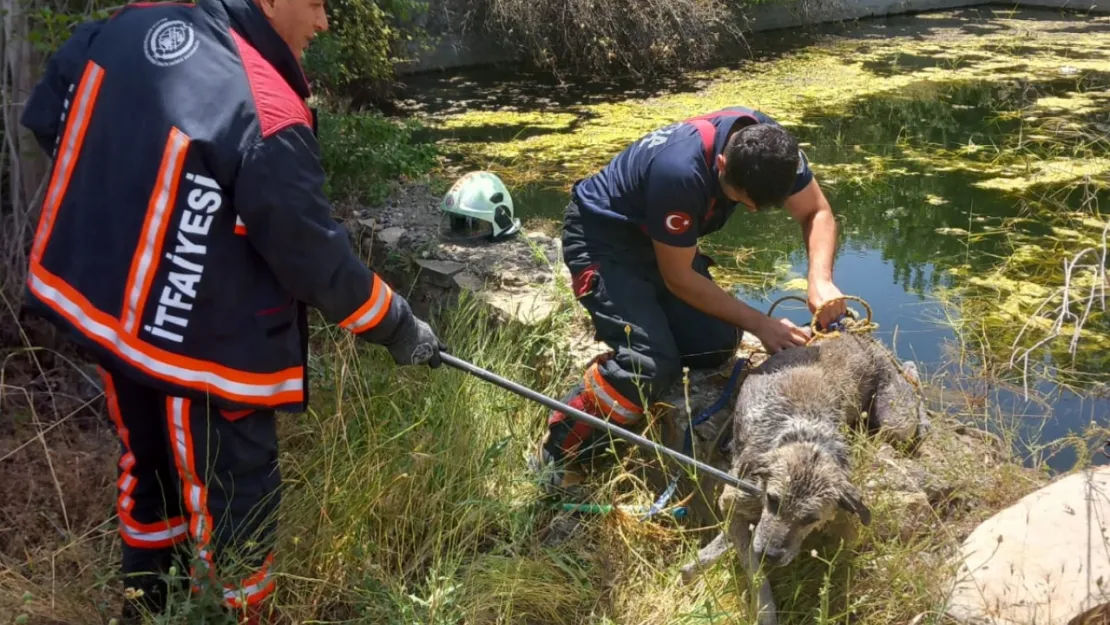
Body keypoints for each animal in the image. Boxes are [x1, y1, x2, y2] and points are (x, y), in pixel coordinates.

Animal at [674, 330, 927, 621]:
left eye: (811, 519)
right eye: (773, 500)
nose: (770, 555)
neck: (805, 435)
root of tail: (858, 335)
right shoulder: (733, 502)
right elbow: (751, 564)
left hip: (895, 420)